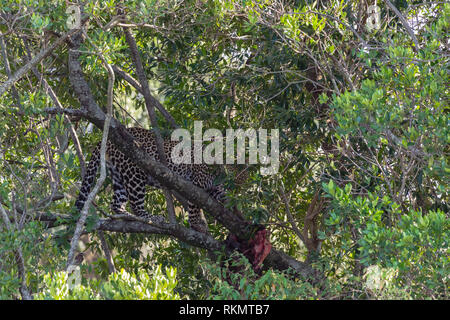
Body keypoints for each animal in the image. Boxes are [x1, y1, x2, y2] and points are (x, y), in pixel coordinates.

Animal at [74, 126, 229, 234]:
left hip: (119, 175)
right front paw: (196, 225)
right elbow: (194, 207)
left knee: (116, 204)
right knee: (136, 204)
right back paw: (152, 218)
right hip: (134, 173)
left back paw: (128, 217)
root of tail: (106, 140)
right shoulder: (196, 183)